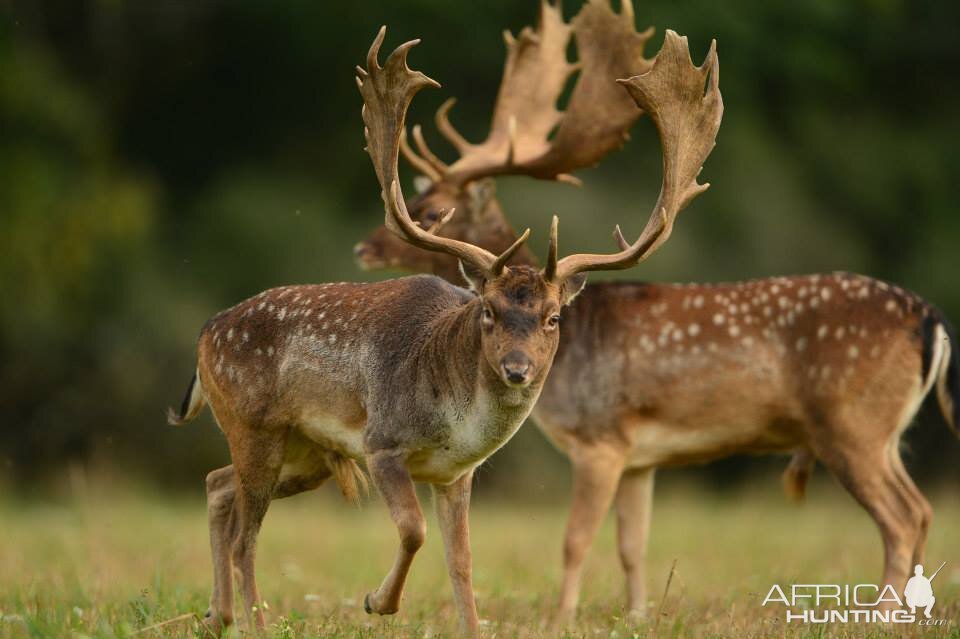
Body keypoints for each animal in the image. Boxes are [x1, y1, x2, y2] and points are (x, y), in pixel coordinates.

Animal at [167, 18, 720, 636]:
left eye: (554, 317)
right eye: (488, 311)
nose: (517, 368)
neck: (455, 420)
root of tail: (206, 333)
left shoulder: (457, 474)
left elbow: (463, 562)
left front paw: (462, 622)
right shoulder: (382, 443)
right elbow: (414, 531)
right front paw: (376, 601)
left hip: (306, 450)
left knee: (217, 486)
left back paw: (217, 613)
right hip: (255, 426)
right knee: (246, 534)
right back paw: (253, 621)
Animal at [354, 0, 960, 624]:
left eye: (431, 209)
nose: (365, 247)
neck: (575, 345)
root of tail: (929, 319)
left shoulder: (600, 438)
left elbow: (575, 539)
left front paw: (562, 618)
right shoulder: (642, 457)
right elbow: (632, 543)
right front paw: (638, 614)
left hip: (851, 423)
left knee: (902, 517)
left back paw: (884, 615)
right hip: (882, 432)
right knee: (922, 509)